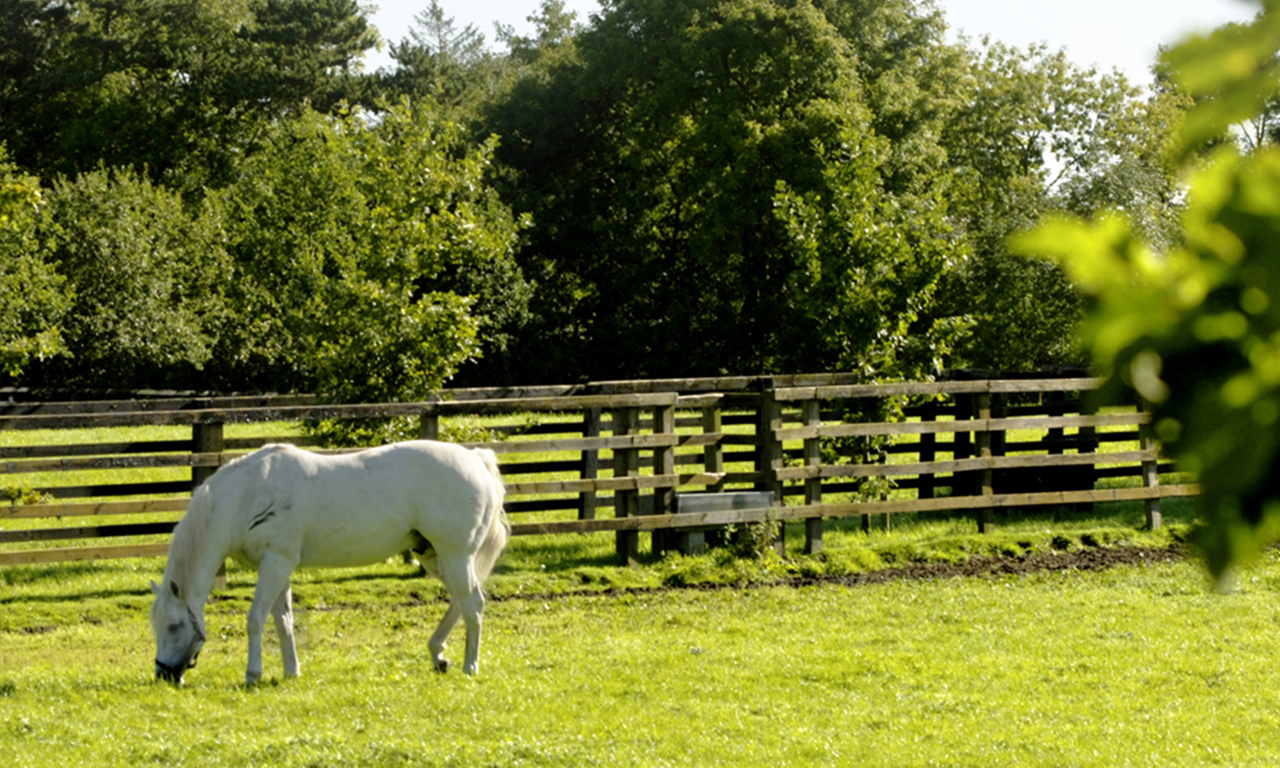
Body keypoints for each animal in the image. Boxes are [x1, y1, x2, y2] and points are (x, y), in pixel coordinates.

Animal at [149, 440, 508, 685]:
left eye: (174, 625)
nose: (163, 674)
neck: (244, 498)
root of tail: (477, 459)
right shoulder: (280, 566)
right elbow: (283, 620)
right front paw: (291, 671)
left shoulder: (275, 563)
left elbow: (255, 619)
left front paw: (253, 674)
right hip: (436, 557)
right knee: (461, 601)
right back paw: (438, 654)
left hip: (455, 555)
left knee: (473, 604)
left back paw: (469, 666)